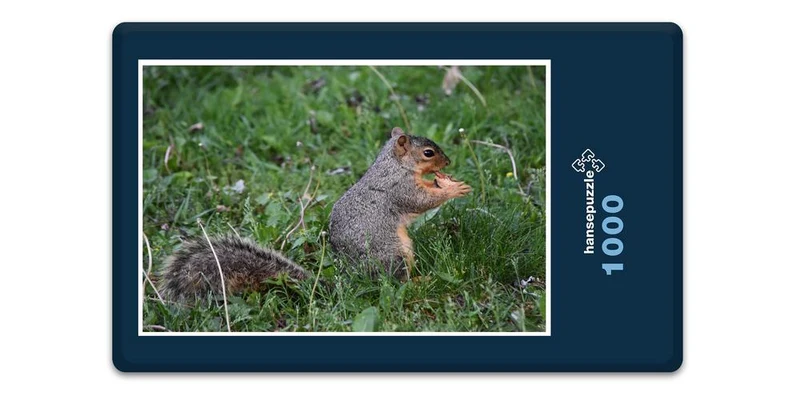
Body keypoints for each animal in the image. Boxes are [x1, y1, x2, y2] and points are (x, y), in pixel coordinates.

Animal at [158, 127, 470, 301]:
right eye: (428, 152)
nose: (448, 162)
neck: (394, 164)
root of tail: (351, 281)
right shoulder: (399, 188)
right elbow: (419, 200)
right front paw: (453, 189)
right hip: (393, 254)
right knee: (393, 283)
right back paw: (420, 281)